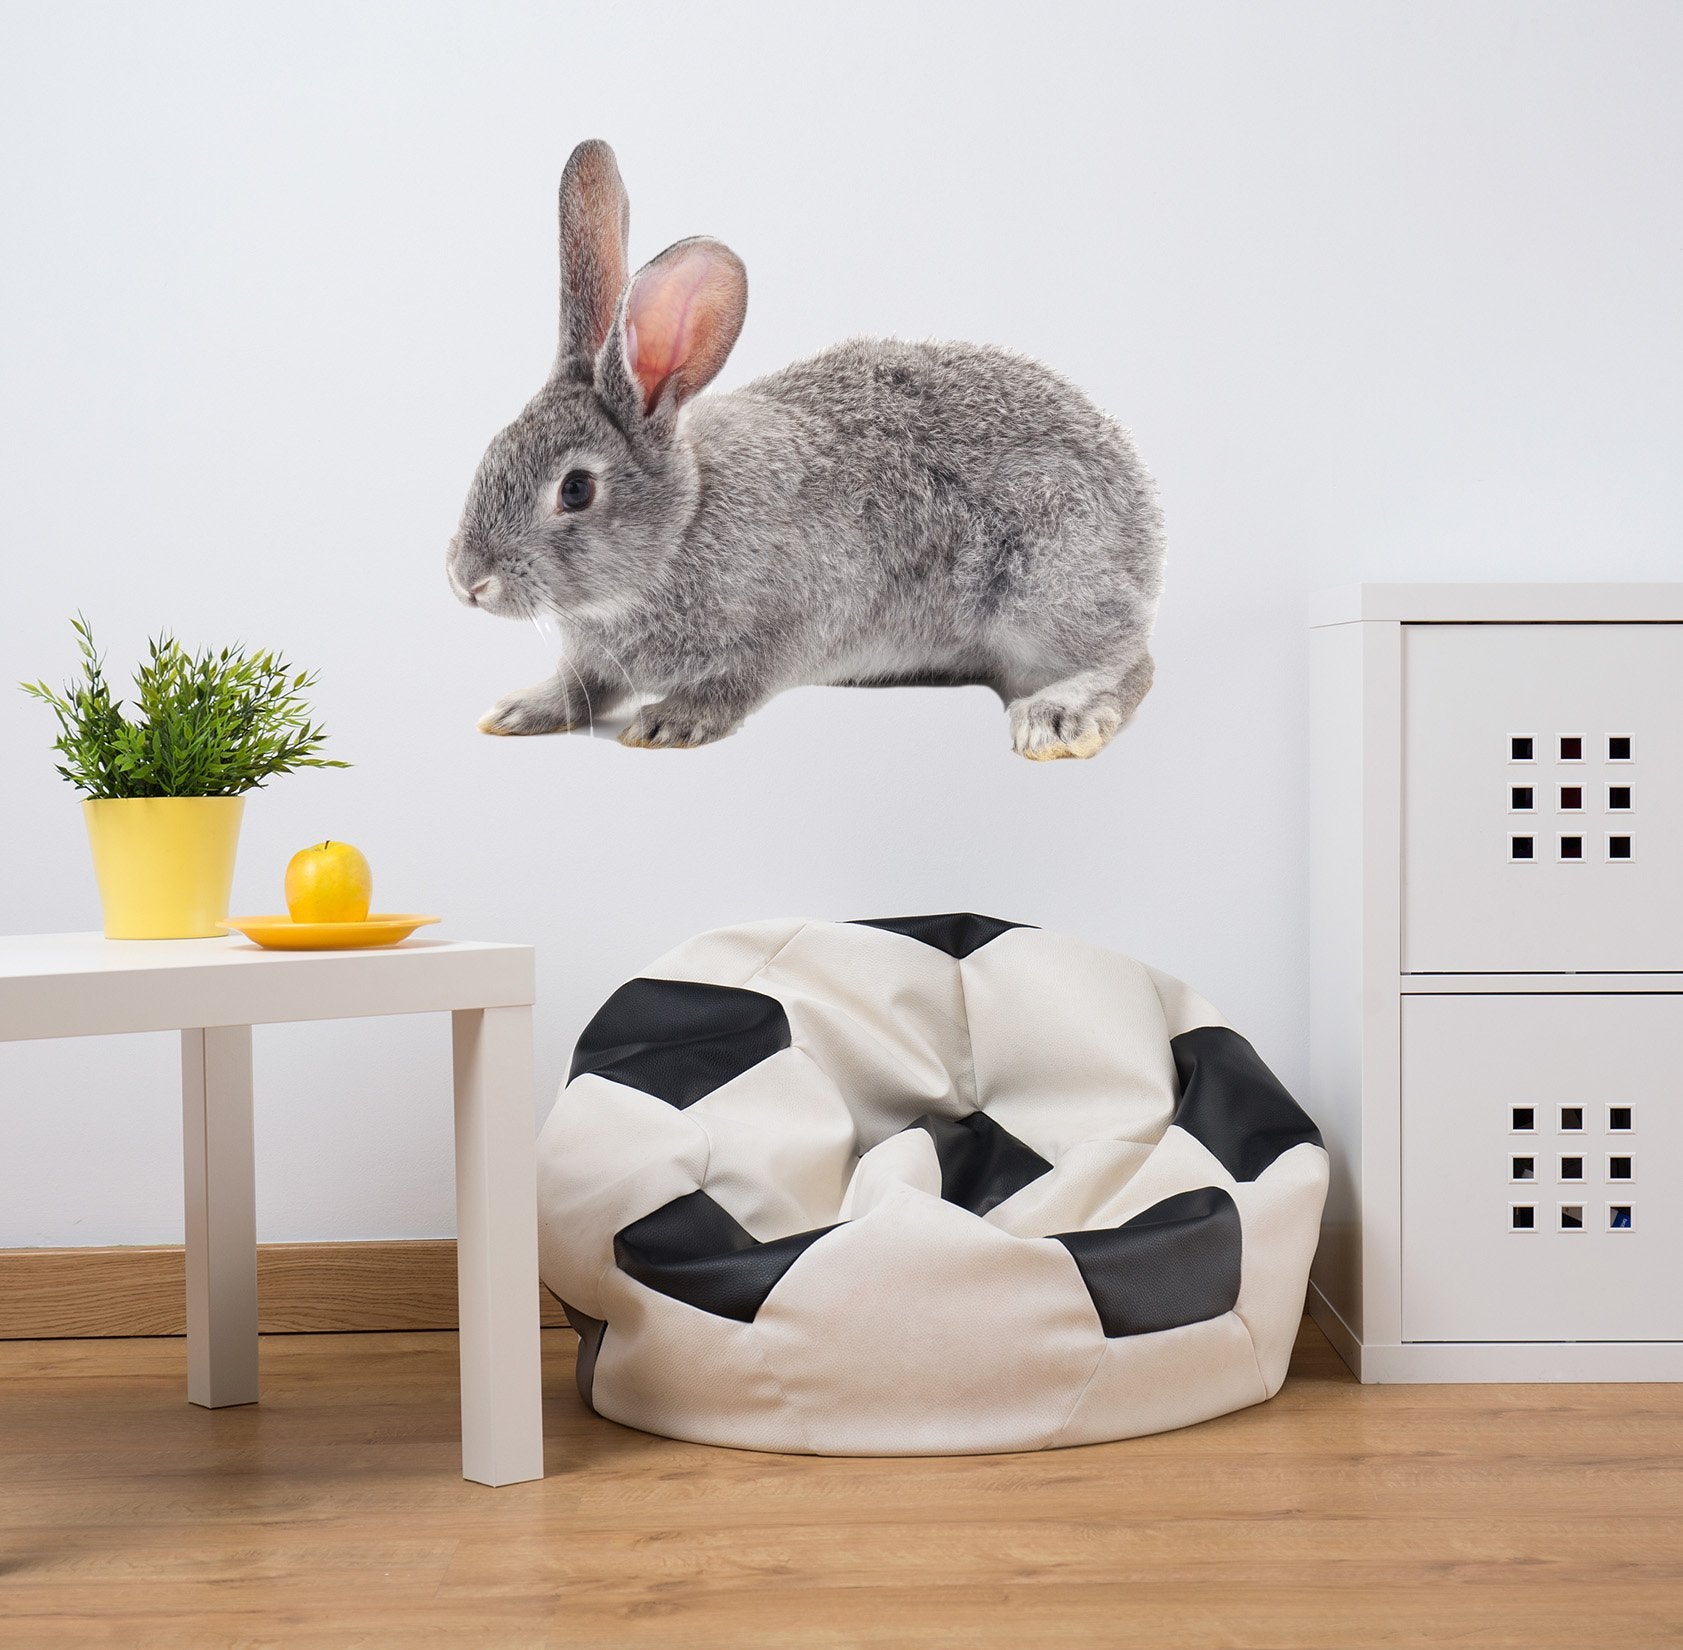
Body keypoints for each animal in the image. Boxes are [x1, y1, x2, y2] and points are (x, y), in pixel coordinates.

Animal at [446, 139, 1165, 760]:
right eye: (493, 450)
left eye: (576, 489)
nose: (467, 582)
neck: (682, 524)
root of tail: (1143, 536)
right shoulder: (595, 657)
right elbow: (581, 684)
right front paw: (523, 709)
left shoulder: (786, 625)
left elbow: (735, 684)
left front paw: (671, 721)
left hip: (1044, 587)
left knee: (1128, 660)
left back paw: (1060, 717)